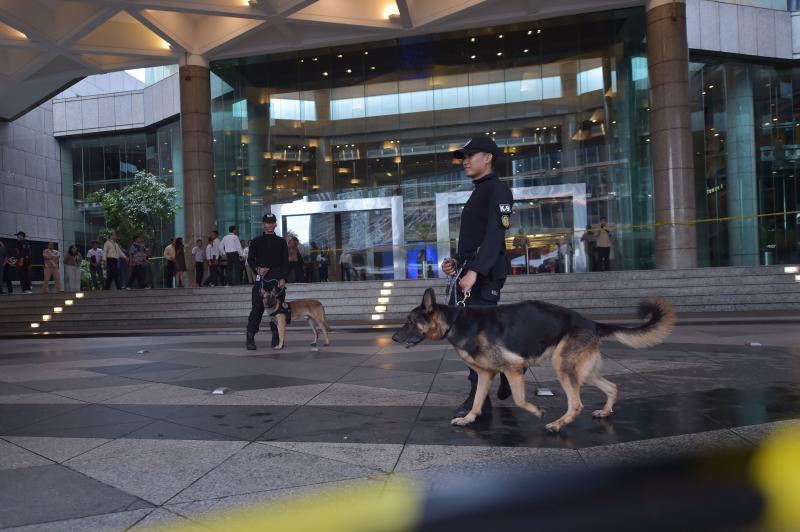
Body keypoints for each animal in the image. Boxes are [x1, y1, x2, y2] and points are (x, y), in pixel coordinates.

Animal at [394, 286, 676, 432]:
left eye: (409, 322)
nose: (395, 337)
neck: (455, 322)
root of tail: (592, 323)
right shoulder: (485, 375)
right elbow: (476, 401)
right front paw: (468, 419)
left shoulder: (514, 369)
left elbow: (519, 400)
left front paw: (536, 410)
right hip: (584, 372)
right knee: (612, 386)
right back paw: (605, 412)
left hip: (562, 366)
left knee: (577, 404)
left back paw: (558, 424)